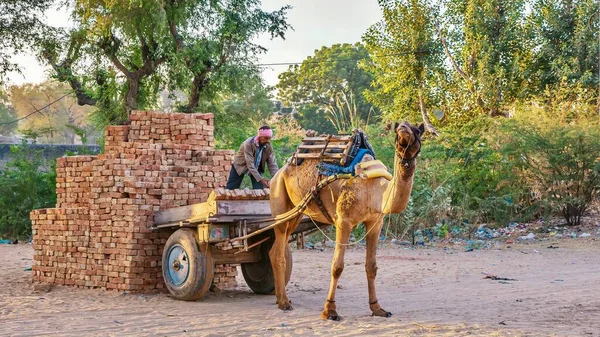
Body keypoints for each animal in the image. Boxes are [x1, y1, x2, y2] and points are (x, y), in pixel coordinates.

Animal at [270, 120, 424, 318]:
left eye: (417, 131)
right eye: (397, 131)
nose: (403, 127)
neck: (375, 191)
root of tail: (277, 174)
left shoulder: (375, 223)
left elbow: (371, 266)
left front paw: (377, 308)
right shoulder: (343, 220)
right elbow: (337, 267)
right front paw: (329, 311)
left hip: (296, 213)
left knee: (275, 249)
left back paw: (279, 298)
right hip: (278, 197)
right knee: (279, 250)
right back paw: (284, 302)